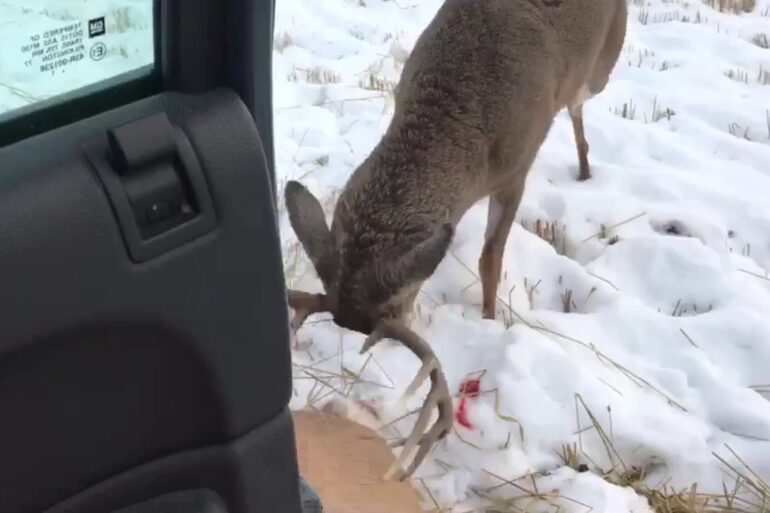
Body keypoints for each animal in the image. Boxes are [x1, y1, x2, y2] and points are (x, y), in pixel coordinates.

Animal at [284, 0, 628, 481]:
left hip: (603, 64)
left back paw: (585, 167)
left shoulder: (517, 168)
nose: (352, 328)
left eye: (394, 309)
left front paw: (489, 320)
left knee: (580, 103)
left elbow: (490, 258)